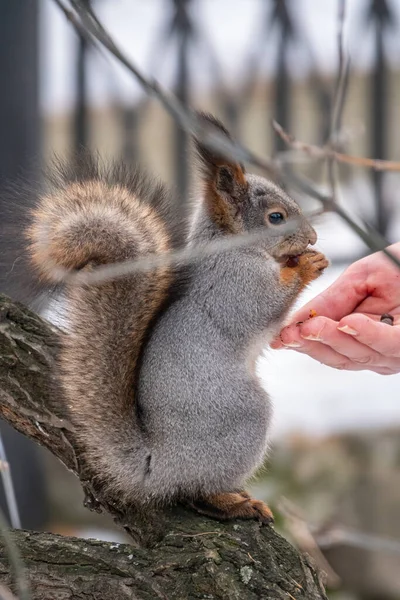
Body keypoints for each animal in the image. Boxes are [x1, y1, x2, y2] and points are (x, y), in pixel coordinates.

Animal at [25, 113, 328, 524]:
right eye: (276, 217)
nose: (312, 237)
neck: (231, 246)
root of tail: (157, 467)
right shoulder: (237, 282)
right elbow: (265, 304)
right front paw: (307, 266)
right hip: (241, 419)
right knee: (196, 489)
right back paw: (232, 502)